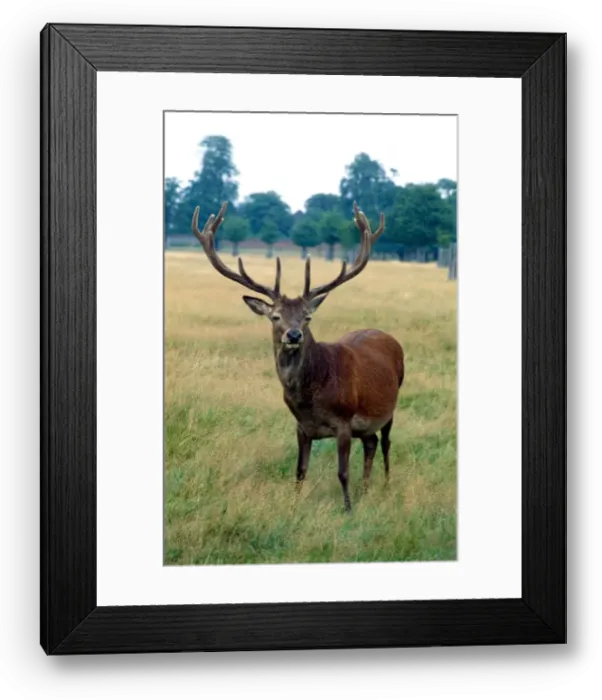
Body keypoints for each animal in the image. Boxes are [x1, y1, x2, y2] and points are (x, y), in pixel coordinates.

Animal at [191, 201, 405, 513]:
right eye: (276, 316)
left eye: (307, 317)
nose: (293, 335)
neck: (309, 398)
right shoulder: (301, 426)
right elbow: (300, 470)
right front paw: (293, 507)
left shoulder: (344, 421)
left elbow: (342, 472)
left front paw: (348, 509)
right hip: (367, 425)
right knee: (372, 443)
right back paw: (366, 489)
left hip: (389, 406)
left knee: (386, 443)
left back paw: (386, 486)